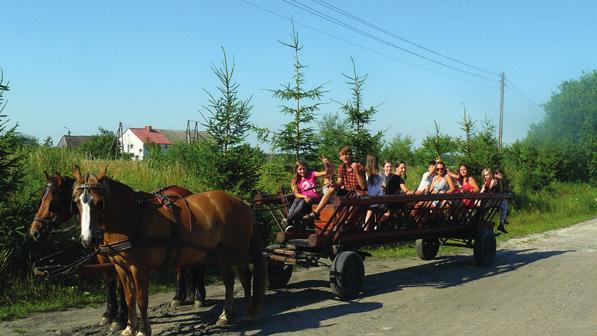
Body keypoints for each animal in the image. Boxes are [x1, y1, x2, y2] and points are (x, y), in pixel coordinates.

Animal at [29, 171, 207, 330]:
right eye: (42, 199)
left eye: (53, 201)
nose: (34, 232)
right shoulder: (103, 255)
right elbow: (109, 280)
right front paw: (109, 314)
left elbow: (121, 285)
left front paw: (120, 318)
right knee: (181, 266)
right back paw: (182, 296)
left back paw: (198, 297)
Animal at [72, 167, 264, 336]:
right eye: (77, 202)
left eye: (99, 202)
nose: (88, 238)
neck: (130, 217)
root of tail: (243, 203)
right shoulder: (121, 266)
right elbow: (129, 297)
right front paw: (129, 328)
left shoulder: (139, 267)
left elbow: (141, 298)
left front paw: (143, 330)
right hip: (221, 253)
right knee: (229, 281)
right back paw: (225, 315)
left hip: (238, 251)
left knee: (245, 279)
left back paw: (248, 314)